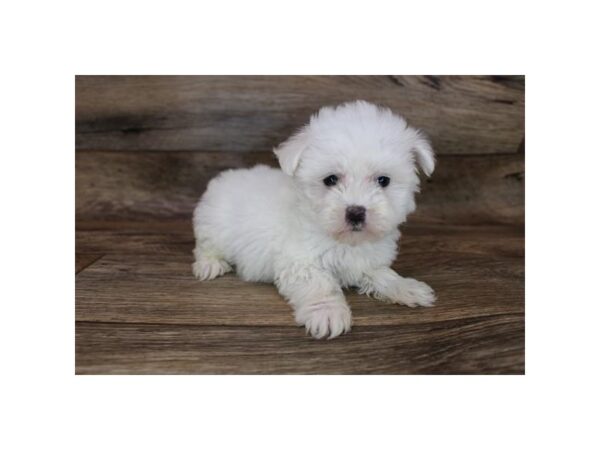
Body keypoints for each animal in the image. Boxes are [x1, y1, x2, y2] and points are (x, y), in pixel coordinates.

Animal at [192, 99, 436, 338]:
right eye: (331, 180)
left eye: (383, 180)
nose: (356, 212)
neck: (345, 241)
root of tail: (225, 177)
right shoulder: (300, 262)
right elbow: (321, 285)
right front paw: (328, 313)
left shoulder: (368, 260)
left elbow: (383, 274)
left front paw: (405, 287)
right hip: (214, 226)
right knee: (205, 246)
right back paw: (209, 264)